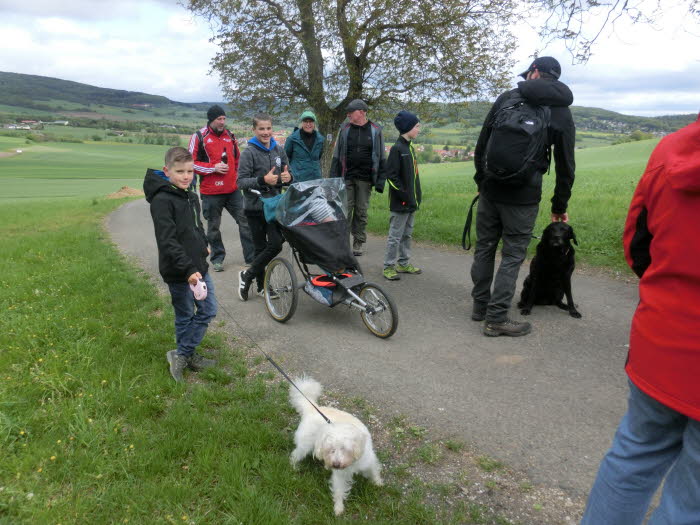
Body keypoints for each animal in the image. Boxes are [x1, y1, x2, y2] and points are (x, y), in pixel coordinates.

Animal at [290, 374, 382, 512]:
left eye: (345, 449)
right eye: (331, 450)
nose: (336, 464)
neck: (352, 463)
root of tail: (313, 408)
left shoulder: (368, 461)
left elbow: (374, 471)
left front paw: (378, 482)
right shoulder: (340, 475)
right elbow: (339, 490)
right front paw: (338, 507)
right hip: (304, 446)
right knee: (295, 455)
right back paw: (294, 467)